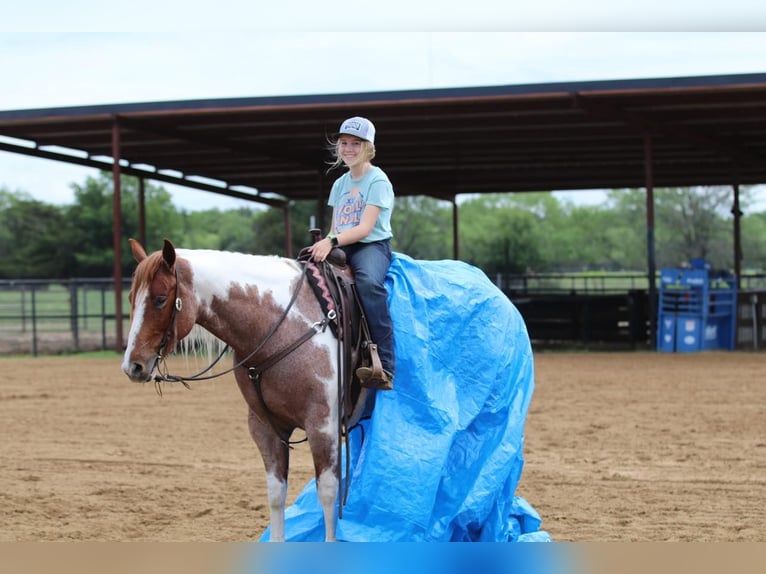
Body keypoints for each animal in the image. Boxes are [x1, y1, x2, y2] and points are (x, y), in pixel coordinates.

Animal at [121, 240, 372, 544]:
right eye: (131, 297)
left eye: (159, 299)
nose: (132, 365)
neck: (284, 326)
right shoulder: (265, 428)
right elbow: (276, 494)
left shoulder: (323, 427)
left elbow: (327, 493)